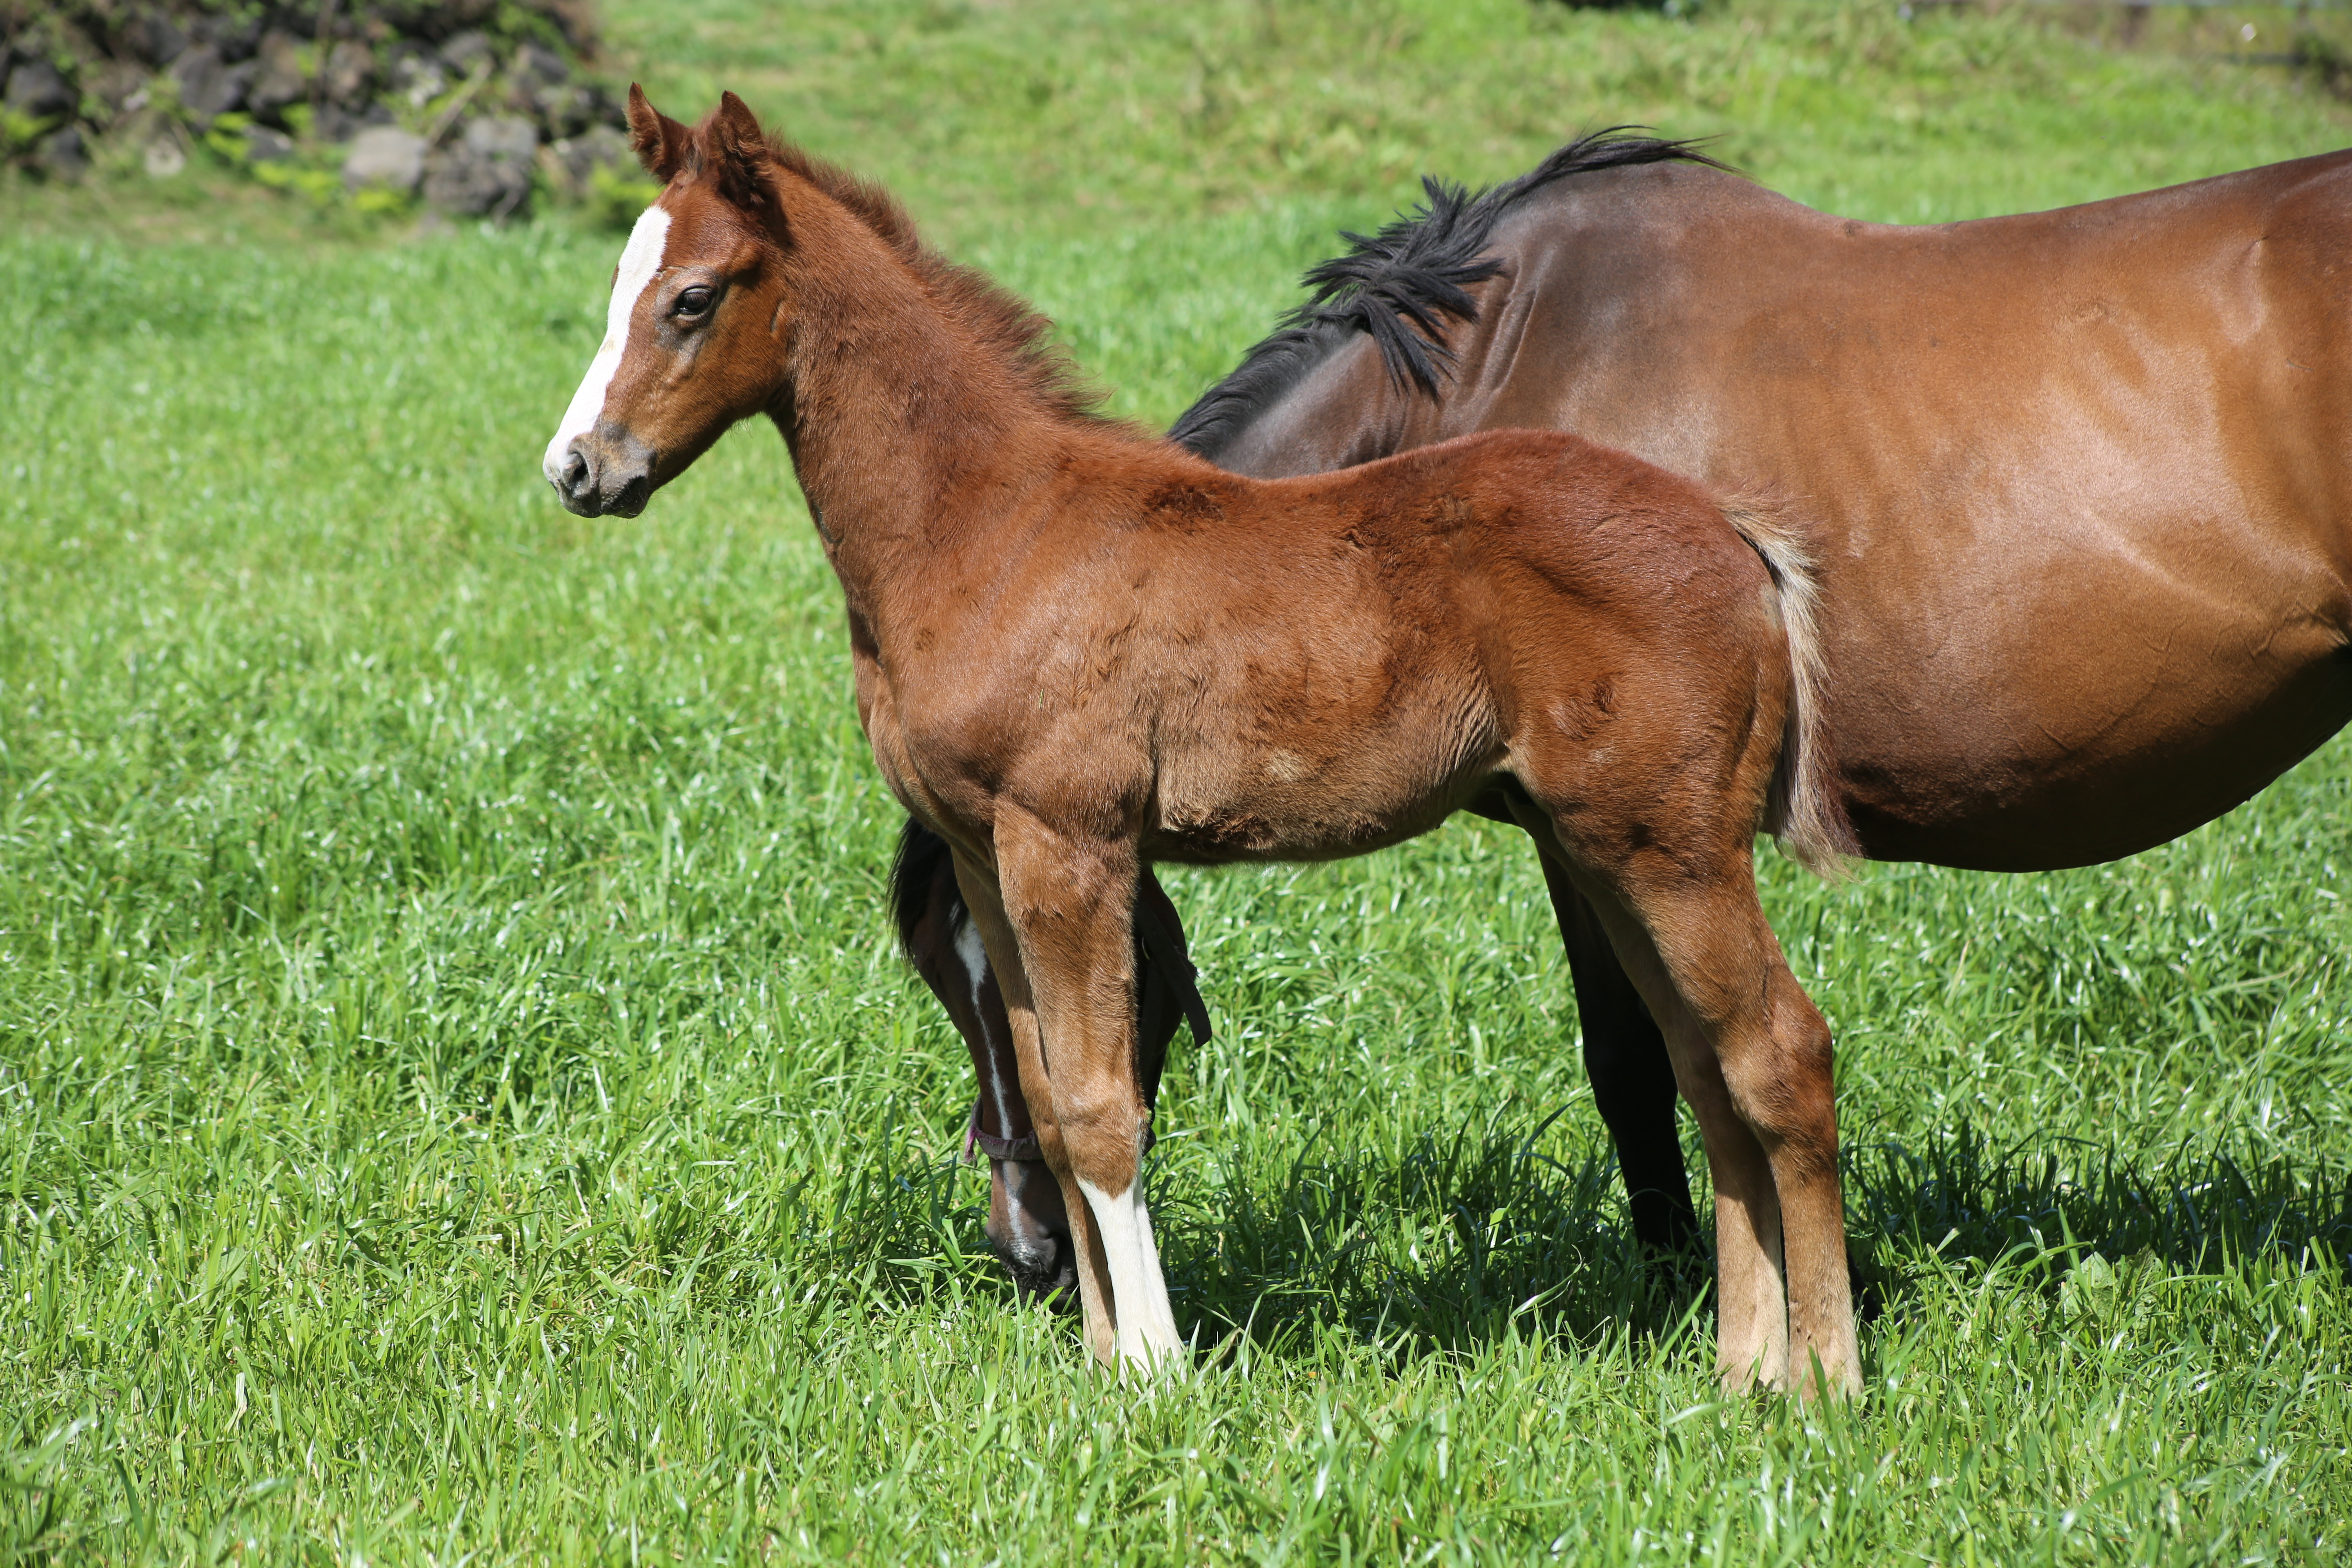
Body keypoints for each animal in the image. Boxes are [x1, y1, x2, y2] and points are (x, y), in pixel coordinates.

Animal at [541, 92, 1862, 1401]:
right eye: (613, 286)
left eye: (691, 296)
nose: (577, 467)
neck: (987, 530)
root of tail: (1734, 534)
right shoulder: (983, 855)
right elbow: (1046, 1091)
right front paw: (1097, 1355)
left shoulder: (1068, 845)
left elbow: (1098, 1105)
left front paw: (1155, 1370)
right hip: (1609, 846)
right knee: (1708, 1069)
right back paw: (1741, 1369)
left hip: (1672, 848)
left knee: (1781, 1055)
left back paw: (1823, 1380)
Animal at [889, 131, 2352, 1316]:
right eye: (945, 983)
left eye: (1006, 969)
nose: (1028, 1251)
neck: (1489, 380)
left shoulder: (1600, 830)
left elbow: (1638, 1064)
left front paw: (1700, 1286)